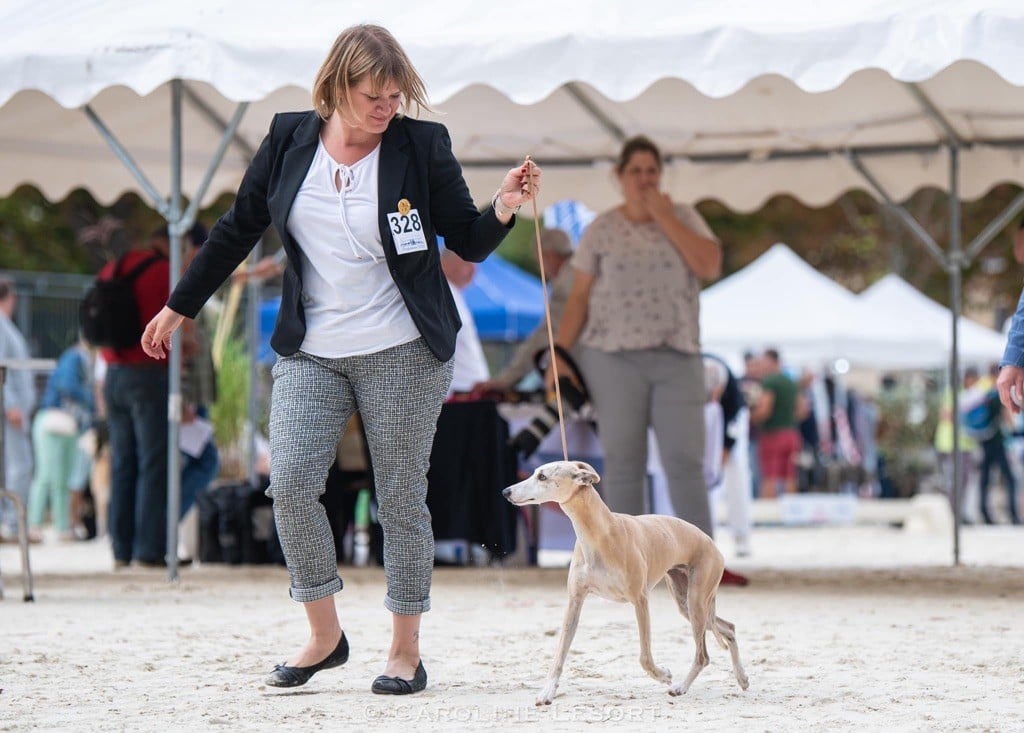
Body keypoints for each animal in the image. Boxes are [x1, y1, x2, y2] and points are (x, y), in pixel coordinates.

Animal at [501, 458, 749, 704]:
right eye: (534, 472)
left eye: (542, 476)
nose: (506, 492)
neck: (599, 534)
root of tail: (711, 543)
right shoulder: (575, 601)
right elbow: (559, 653)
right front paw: (547, 691)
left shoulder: (640, 600)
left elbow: (645, 658)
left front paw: (663, 675)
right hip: (687, 603)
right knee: (729, 628)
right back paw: (742, 678)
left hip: (696, 601)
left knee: (703, 655)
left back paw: (681, 687)